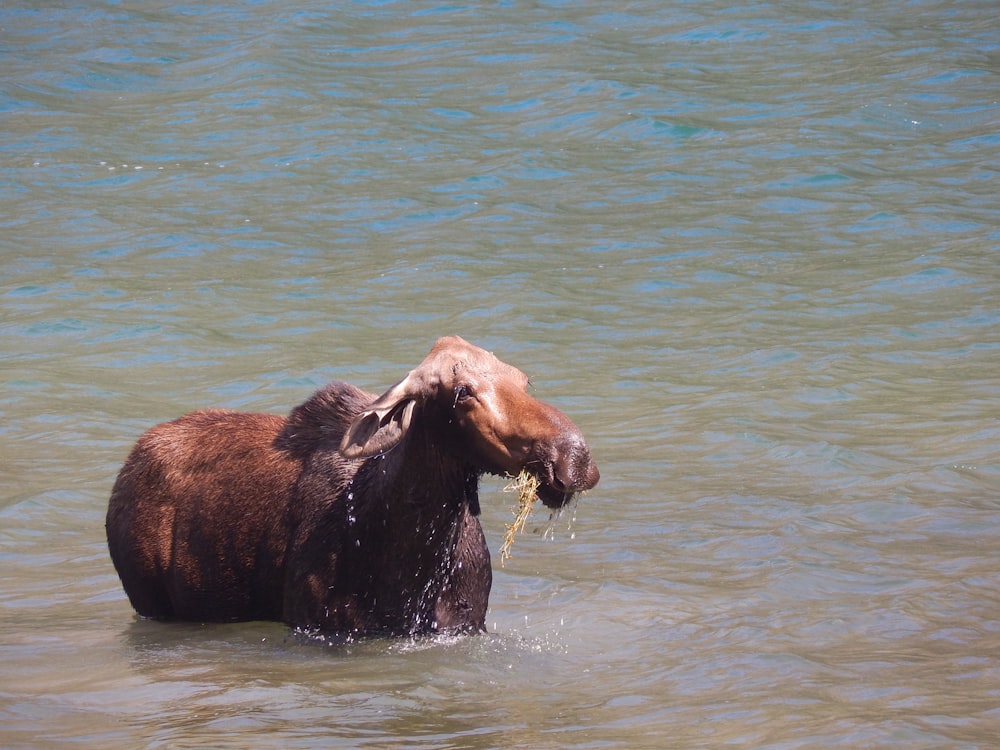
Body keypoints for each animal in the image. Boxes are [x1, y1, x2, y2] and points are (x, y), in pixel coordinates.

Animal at [105, 338, 596, 636]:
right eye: (461, 393)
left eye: (524, 380)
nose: (574, 457)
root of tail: (128, 464)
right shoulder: (321, 625)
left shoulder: (464, 624)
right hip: (150, 599)